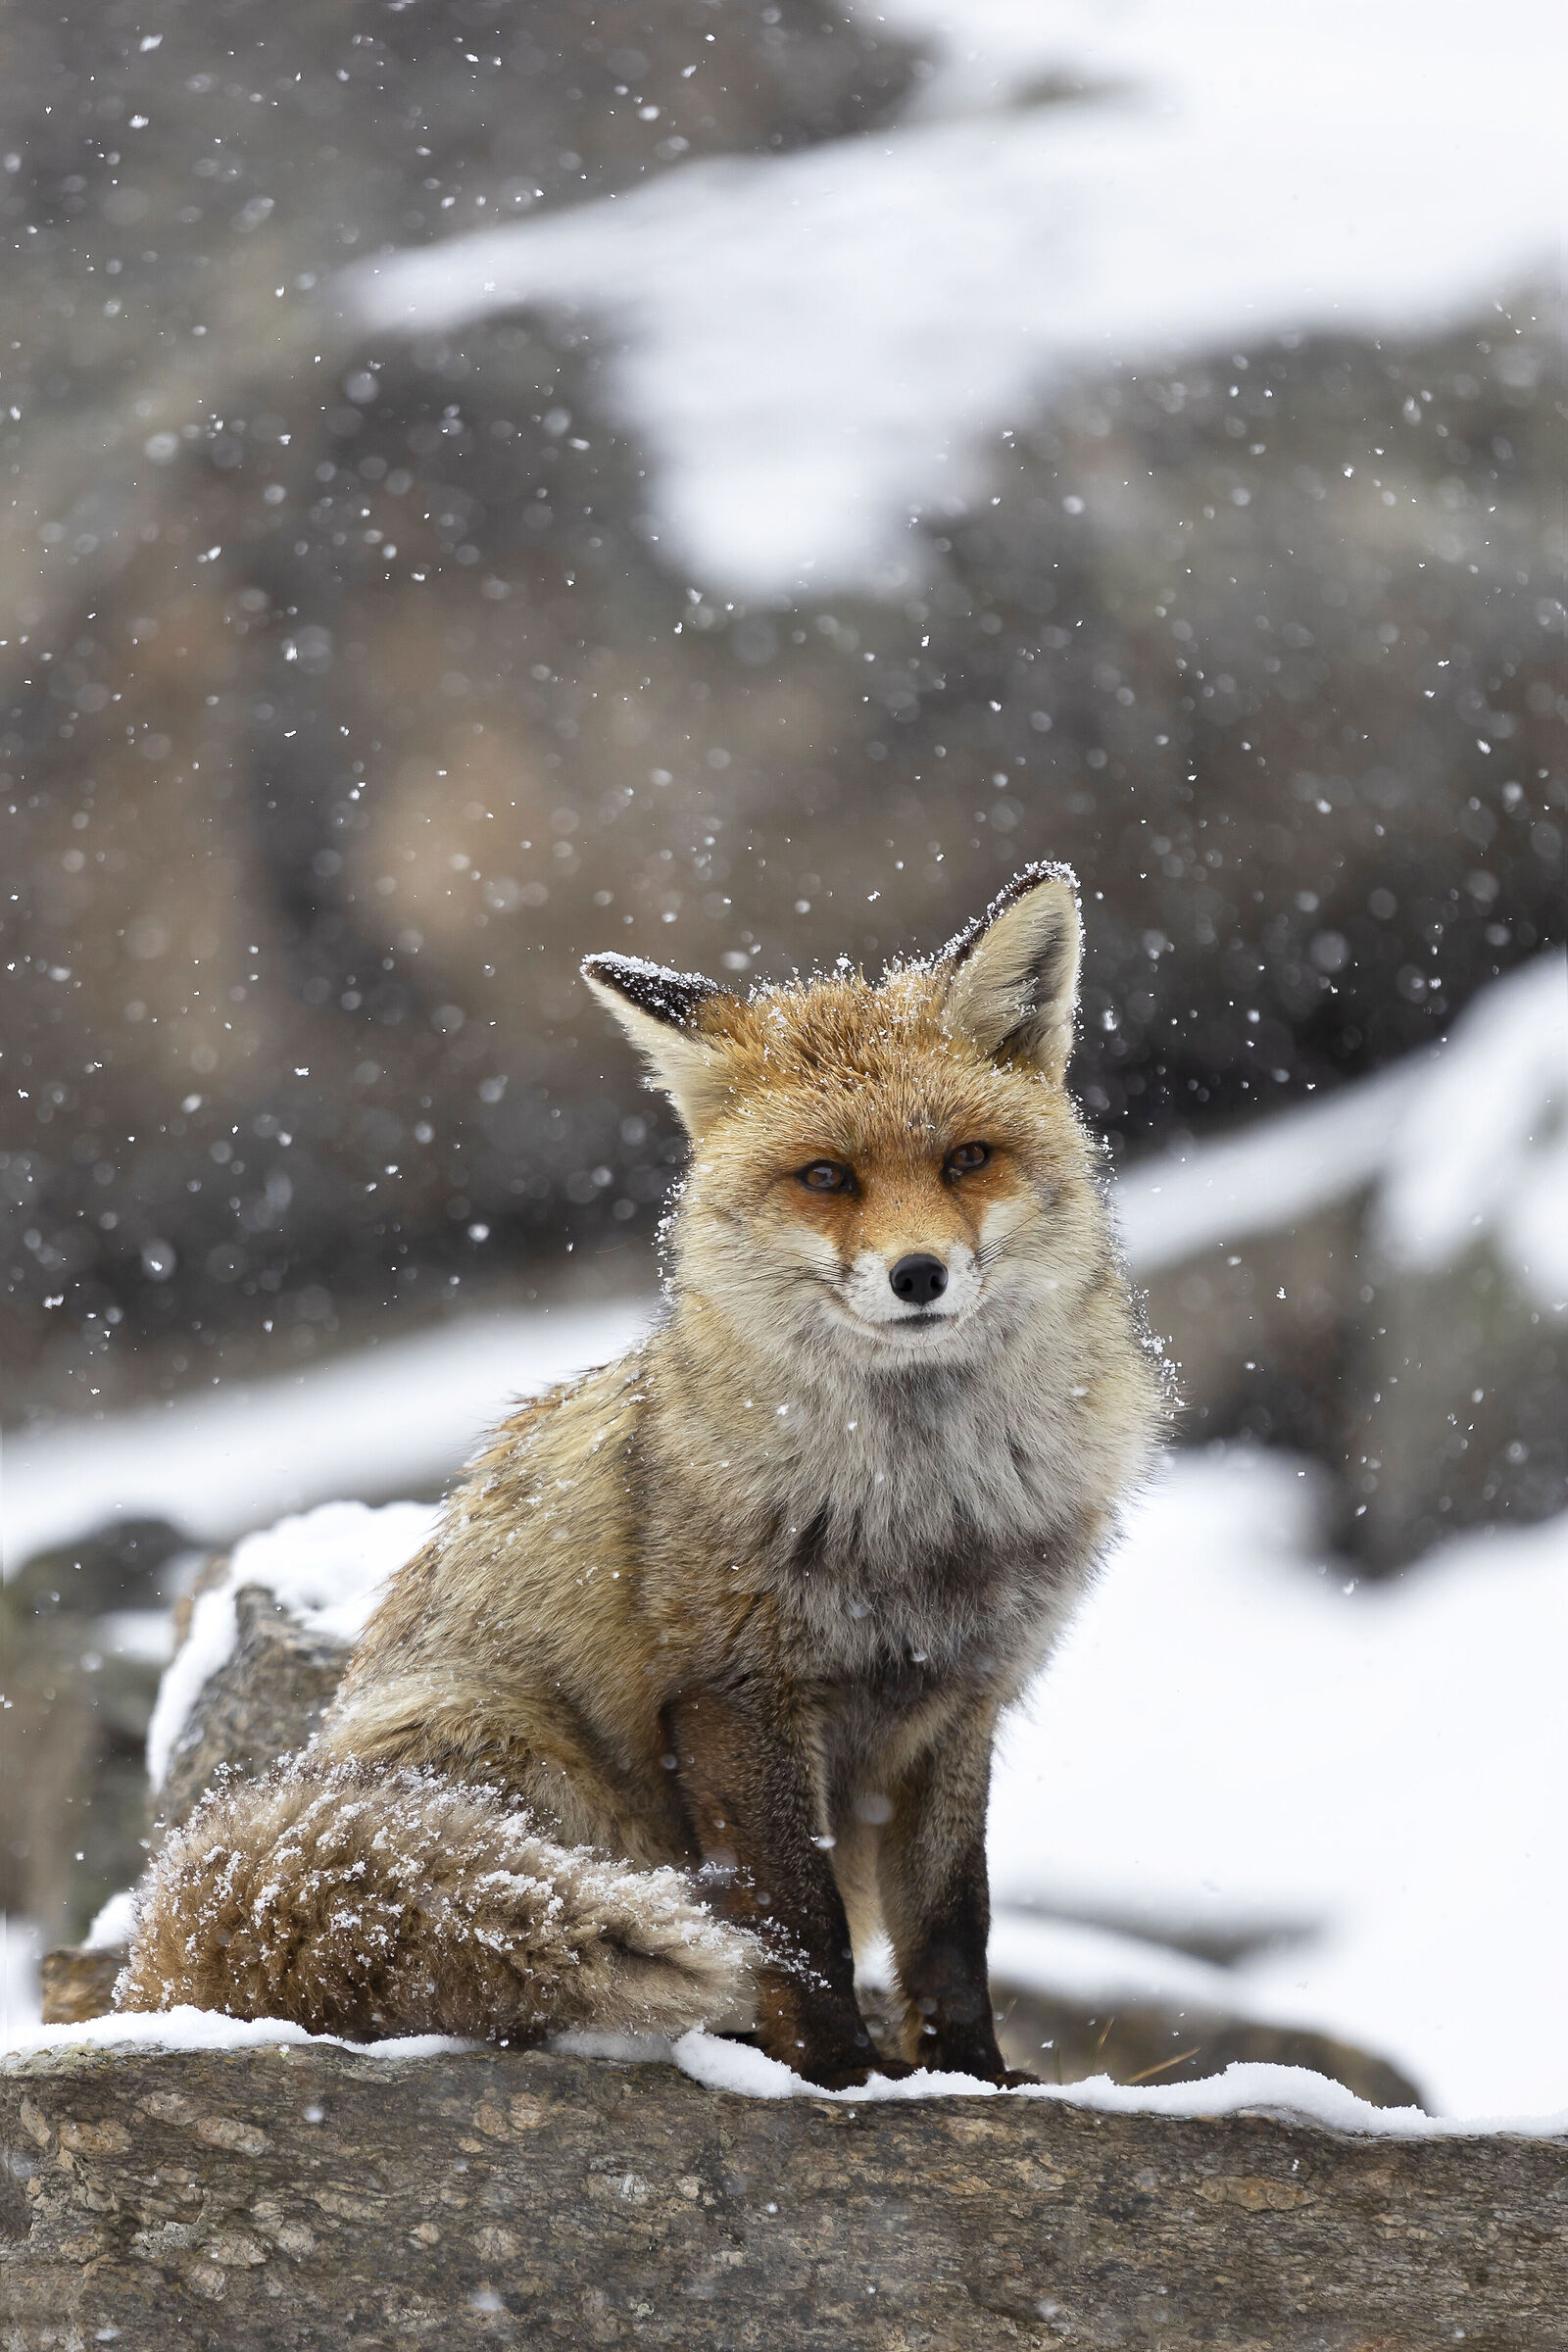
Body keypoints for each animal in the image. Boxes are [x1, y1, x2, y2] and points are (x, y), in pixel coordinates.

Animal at [119, 864, 1165, 2086]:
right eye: (826, 1177)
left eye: (965, 1159)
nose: (918, 1274)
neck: (922, 1510)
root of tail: (156, 1977)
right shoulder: (734, 1691)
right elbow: (795, 1922)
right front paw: (834, 2078)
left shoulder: (960, 1701)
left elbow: (953, 1925)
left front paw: (974, 2079)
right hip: (519, 1759)